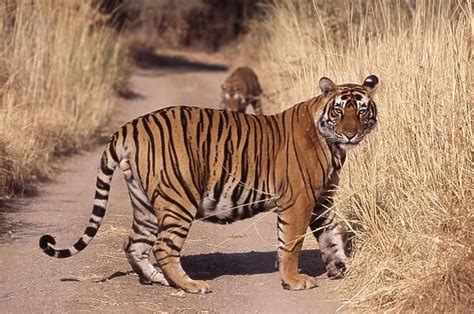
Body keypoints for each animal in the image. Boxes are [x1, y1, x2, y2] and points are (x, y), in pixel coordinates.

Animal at [38, 75, 378, 294]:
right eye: (339, 110)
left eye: (362, 110)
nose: (350, 133)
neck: (334, 146)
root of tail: (129, 126)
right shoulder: (300, 200)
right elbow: (291, 243)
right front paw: (294, 280)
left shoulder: (323, 201)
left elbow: (331, 237)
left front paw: (340, 268)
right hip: (179, 199)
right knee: (162, 246)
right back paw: (190, 285)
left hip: (144, 202)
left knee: (134, 245)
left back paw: (158, 279)